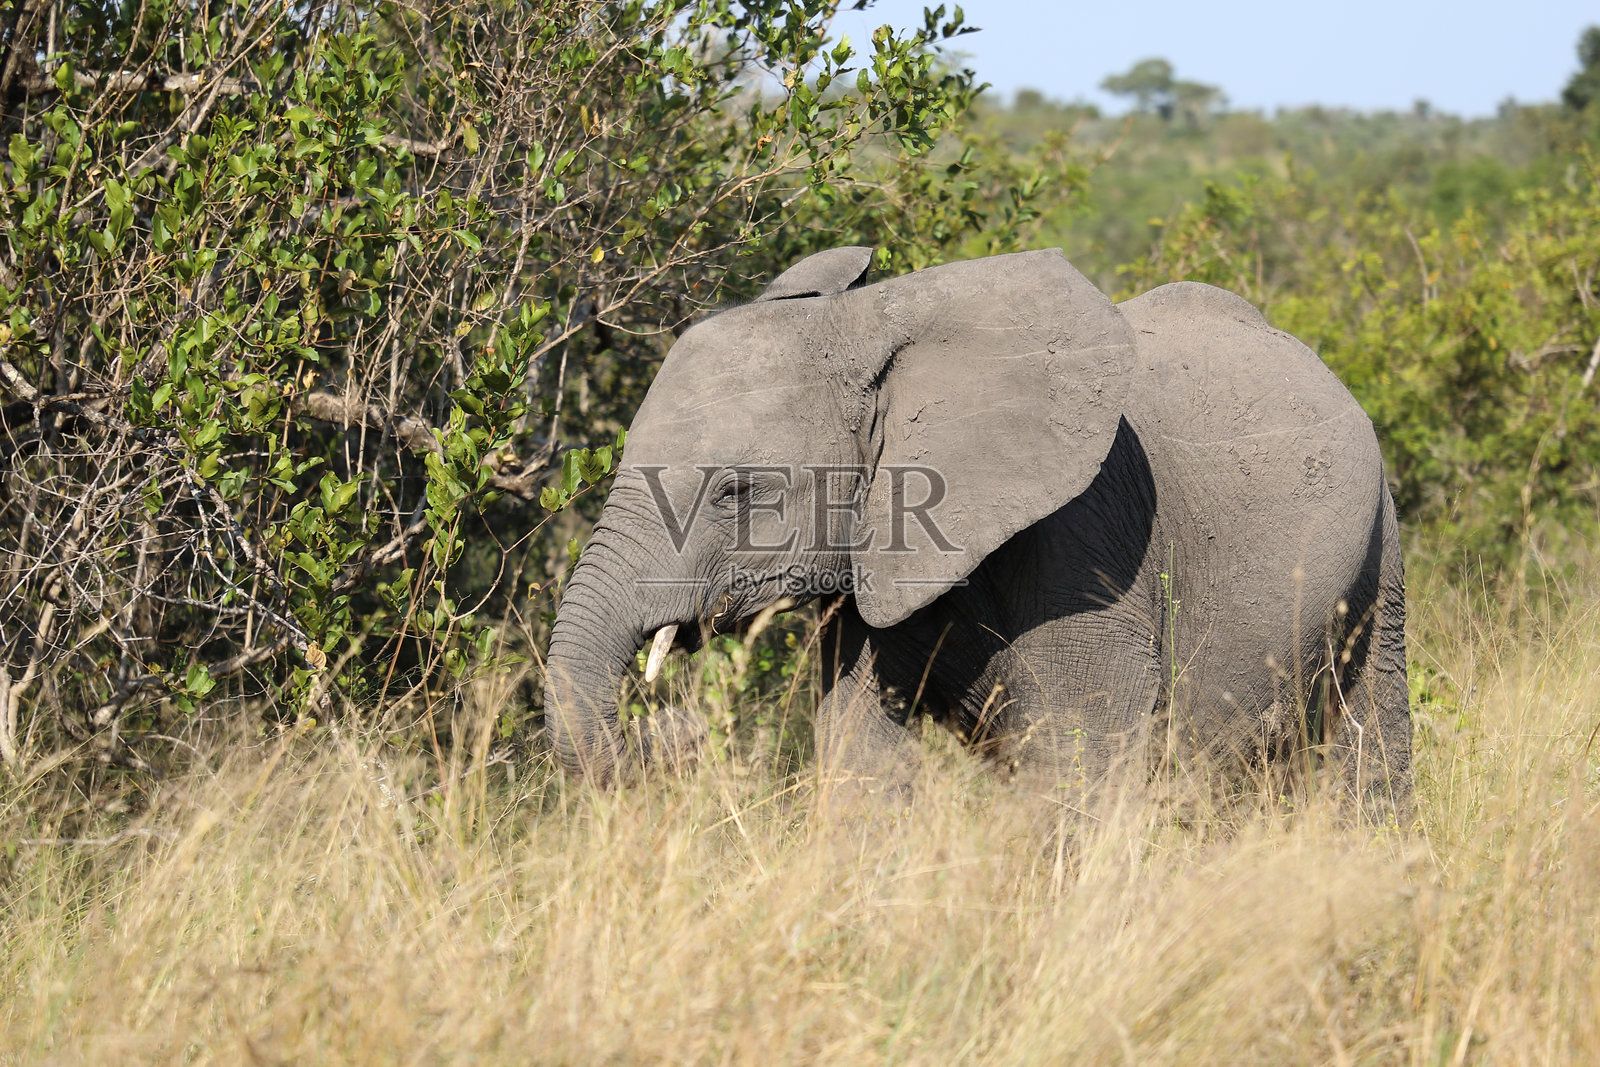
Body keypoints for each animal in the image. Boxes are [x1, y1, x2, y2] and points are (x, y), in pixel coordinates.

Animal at [542, 246, 1412, 815]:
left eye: (736, 491)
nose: (674, 727)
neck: (870, 322)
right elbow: (856, 746)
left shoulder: (1090, 539)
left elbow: (1081, 755)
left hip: (1381, 542)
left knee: (1370, 727)